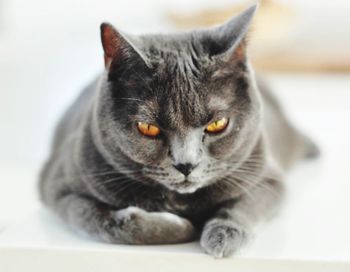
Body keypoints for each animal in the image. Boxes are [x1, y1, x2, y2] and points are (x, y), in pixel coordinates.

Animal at [37, 4, 318, 258]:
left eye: (217, 124)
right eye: (148, 127)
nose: (186, 164)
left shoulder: (266, 177)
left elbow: (244, 206)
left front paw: (223, 236)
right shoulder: (58, 188)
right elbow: (108, 223)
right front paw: (182, 226)